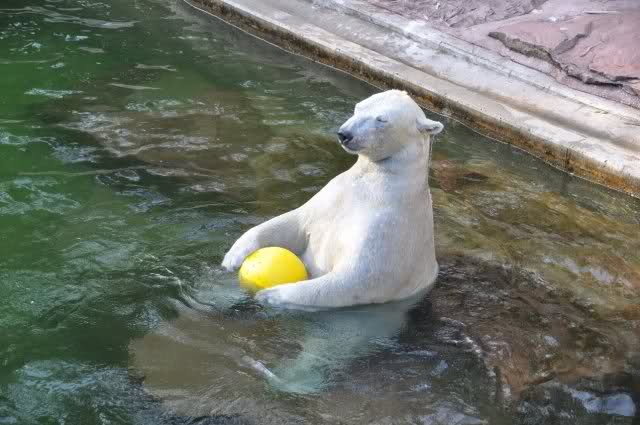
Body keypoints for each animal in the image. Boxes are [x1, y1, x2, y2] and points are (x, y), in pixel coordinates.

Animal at [223, 90, 444, 309]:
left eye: (382, 119)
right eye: (358, 107)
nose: (344, 134)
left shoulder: (390, 227)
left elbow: (359, 277)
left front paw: (270, 294)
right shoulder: (332, 198)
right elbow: (293, 223)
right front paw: (233, 256)